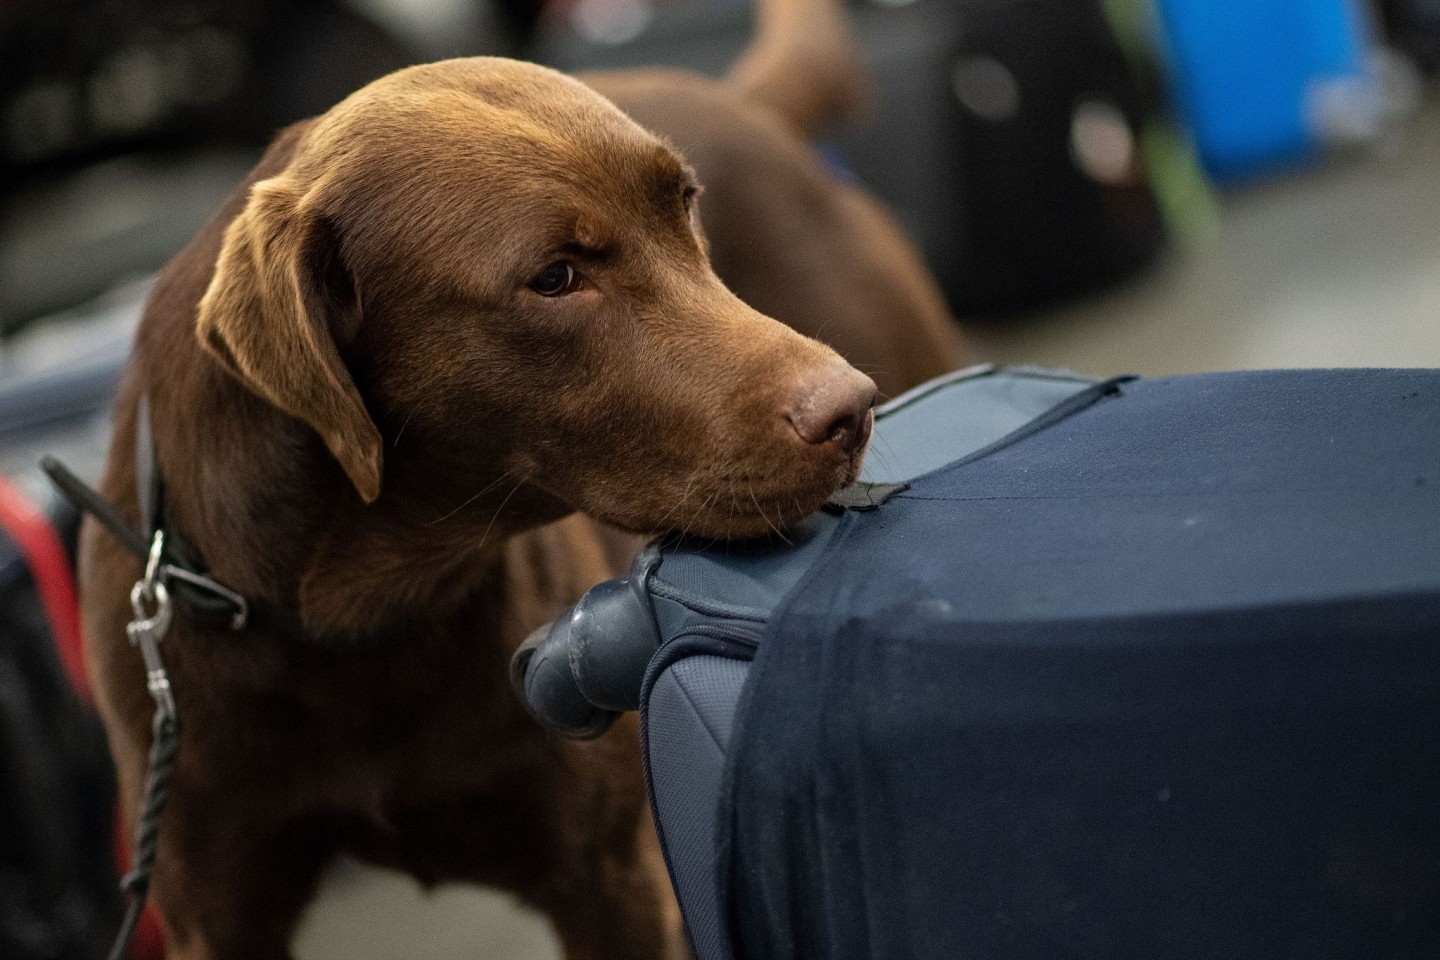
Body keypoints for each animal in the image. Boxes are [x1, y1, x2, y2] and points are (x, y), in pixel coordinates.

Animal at [75, 1, 956, 960]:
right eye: (555, 278)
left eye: (685, 207)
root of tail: (753, 106)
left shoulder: (616, 880)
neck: (359, 624)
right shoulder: (216, 911)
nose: (852, 408)